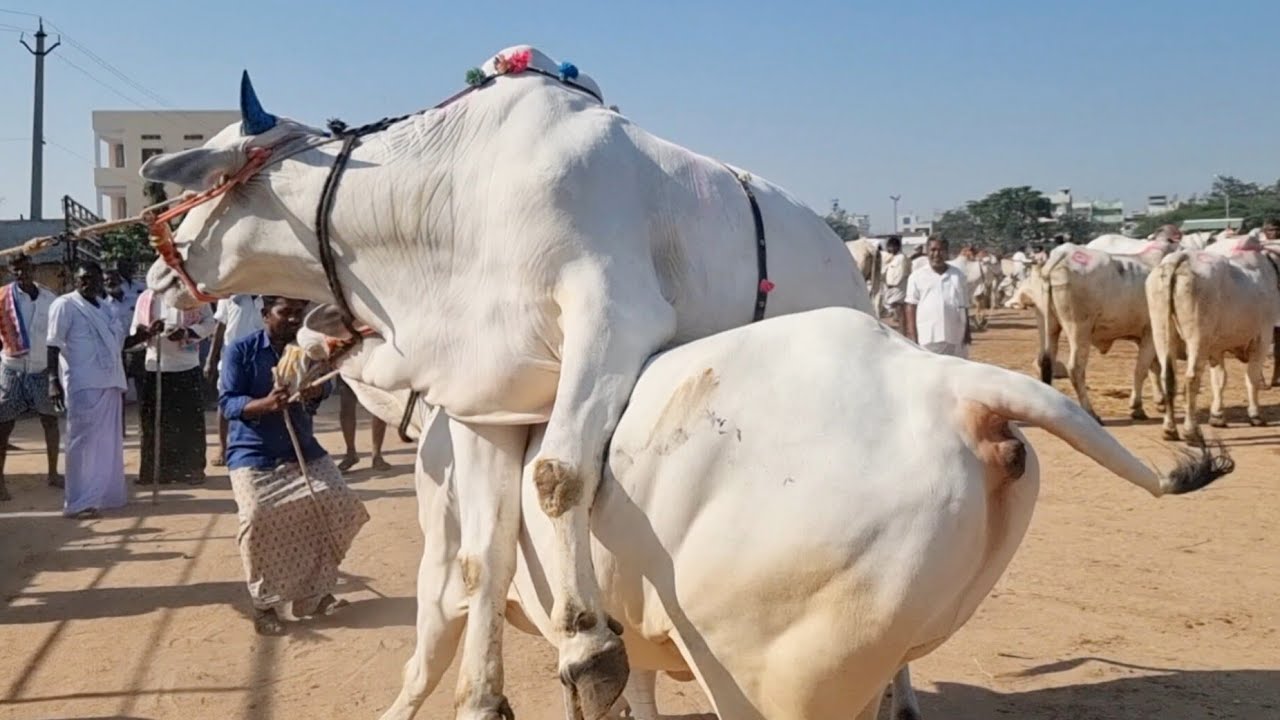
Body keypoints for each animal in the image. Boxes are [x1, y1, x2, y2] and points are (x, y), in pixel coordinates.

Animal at [138, 47, 873, 719]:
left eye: (206, 182)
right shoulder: (486, 404)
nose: (155, 277)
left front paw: (586, 641)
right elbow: (483, 553)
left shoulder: (613, 313)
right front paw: (483, 697)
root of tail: (841, 253)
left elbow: (556, 476)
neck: (447, 209)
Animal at [326, 307, 1227, 720]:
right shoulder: (634, 625)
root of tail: (951, 384)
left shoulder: (443, 577)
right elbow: (626, 688)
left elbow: (425, 666)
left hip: (769, 676)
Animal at [1026, 243, 1169, 422]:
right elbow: (1141, 370)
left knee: (1046, 362)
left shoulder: (1142, 337)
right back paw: (1090, 412)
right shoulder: (1150, 333)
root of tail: (1060, 255)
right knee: (1075, 369)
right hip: (1079, 329)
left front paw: (1160, 401)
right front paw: (1137, 407)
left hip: (1047, 325)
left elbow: (1153, 367)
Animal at [1146, 235, 1280, 442]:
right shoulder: (1262, 338)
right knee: (1191, 378)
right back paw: (1190, 430)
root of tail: (1180, 258)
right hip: (1197, 337)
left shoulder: (1216, 348)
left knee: (1167, 377)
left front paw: (1217, 416)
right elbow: (1252, 378)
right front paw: (1255, 415)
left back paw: (1169, 429)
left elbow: (1219, 380)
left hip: (1161, 331)